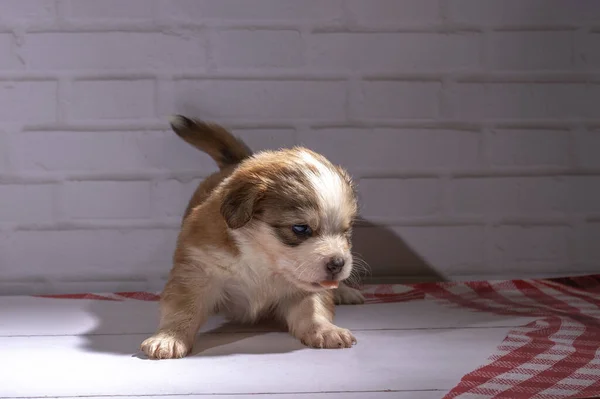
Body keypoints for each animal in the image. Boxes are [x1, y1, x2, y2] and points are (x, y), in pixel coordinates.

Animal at [142, 115, 366, 360]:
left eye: (346, 230)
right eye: (300, 229)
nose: (338, 263)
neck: (262, 261)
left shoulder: (306, 287)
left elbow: (313, 308)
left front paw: (325, 330)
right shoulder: (197, 271)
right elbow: (183, 309)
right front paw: (169, 337)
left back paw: (345, 292)